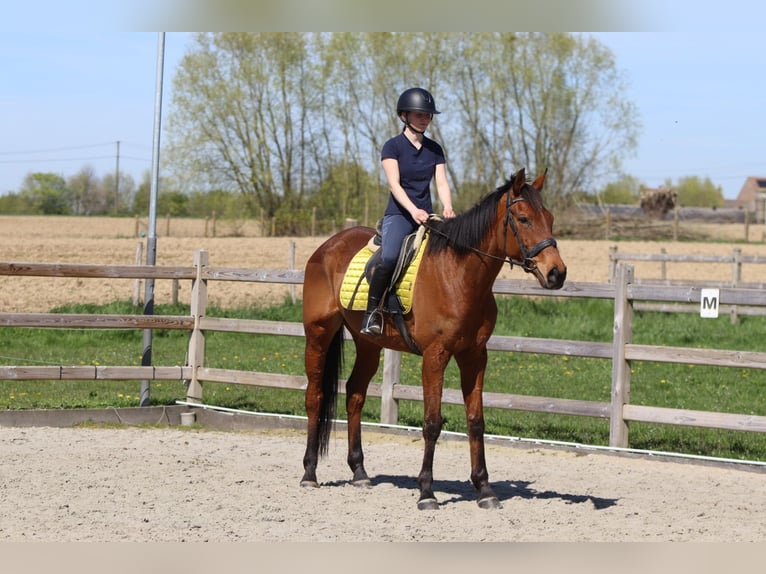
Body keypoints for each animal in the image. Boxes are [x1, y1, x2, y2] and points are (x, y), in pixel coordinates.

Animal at [300, 167, 567, 509]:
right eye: (523, 219)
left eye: (550, 217)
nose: (557, 273)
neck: (458, 275)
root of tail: (327, 247)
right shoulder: (435, 356)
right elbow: (431, 422)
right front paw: (426, 491)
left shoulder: (475, 356)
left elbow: (475, 421)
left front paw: (485, 489)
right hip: (318, 334)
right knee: (315, 396)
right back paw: (309, 473)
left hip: (368, 344)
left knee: (355, 395)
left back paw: (359, 472)